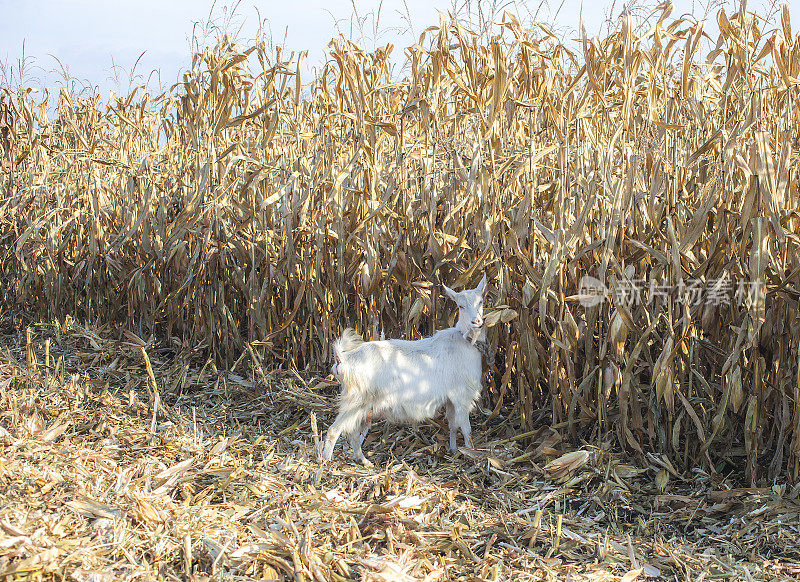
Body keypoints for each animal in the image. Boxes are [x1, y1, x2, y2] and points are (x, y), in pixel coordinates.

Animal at [320, 276, 488, 468]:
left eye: (481, 301)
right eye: (460, 306)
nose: (476, 322)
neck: (464, 341)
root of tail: (343, 360)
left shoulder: (451, 399)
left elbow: (453, 425)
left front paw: (453, 450)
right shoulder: (462, 396)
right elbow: (466, 429)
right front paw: (472, 453)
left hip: (363, 403)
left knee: (354, 432)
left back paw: (364, 461)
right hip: (355, 400)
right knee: (335, 430)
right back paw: (326, 462)